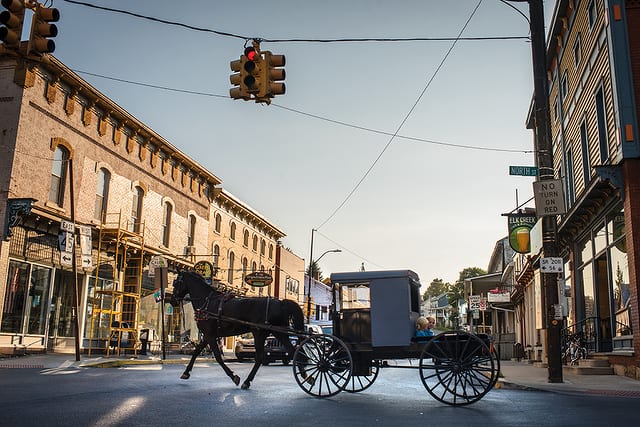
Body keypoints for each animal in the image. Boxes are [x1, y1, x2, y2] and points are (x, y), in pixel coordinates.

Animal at [168, 272, 302, 390]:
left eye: (176, 282)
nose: (173, 300)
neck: (207, 302)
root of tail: (281, 303)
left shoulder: (210, 335)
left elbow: (218, 357)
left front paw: (234, 377)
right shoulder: (208, 335)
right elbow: (196, 352)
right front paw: (186, 372)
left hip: (259, 333)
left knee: (260, 357)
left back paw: (247, 382)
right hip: (278, 333)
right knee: (293, 351)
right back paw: (304, 374)